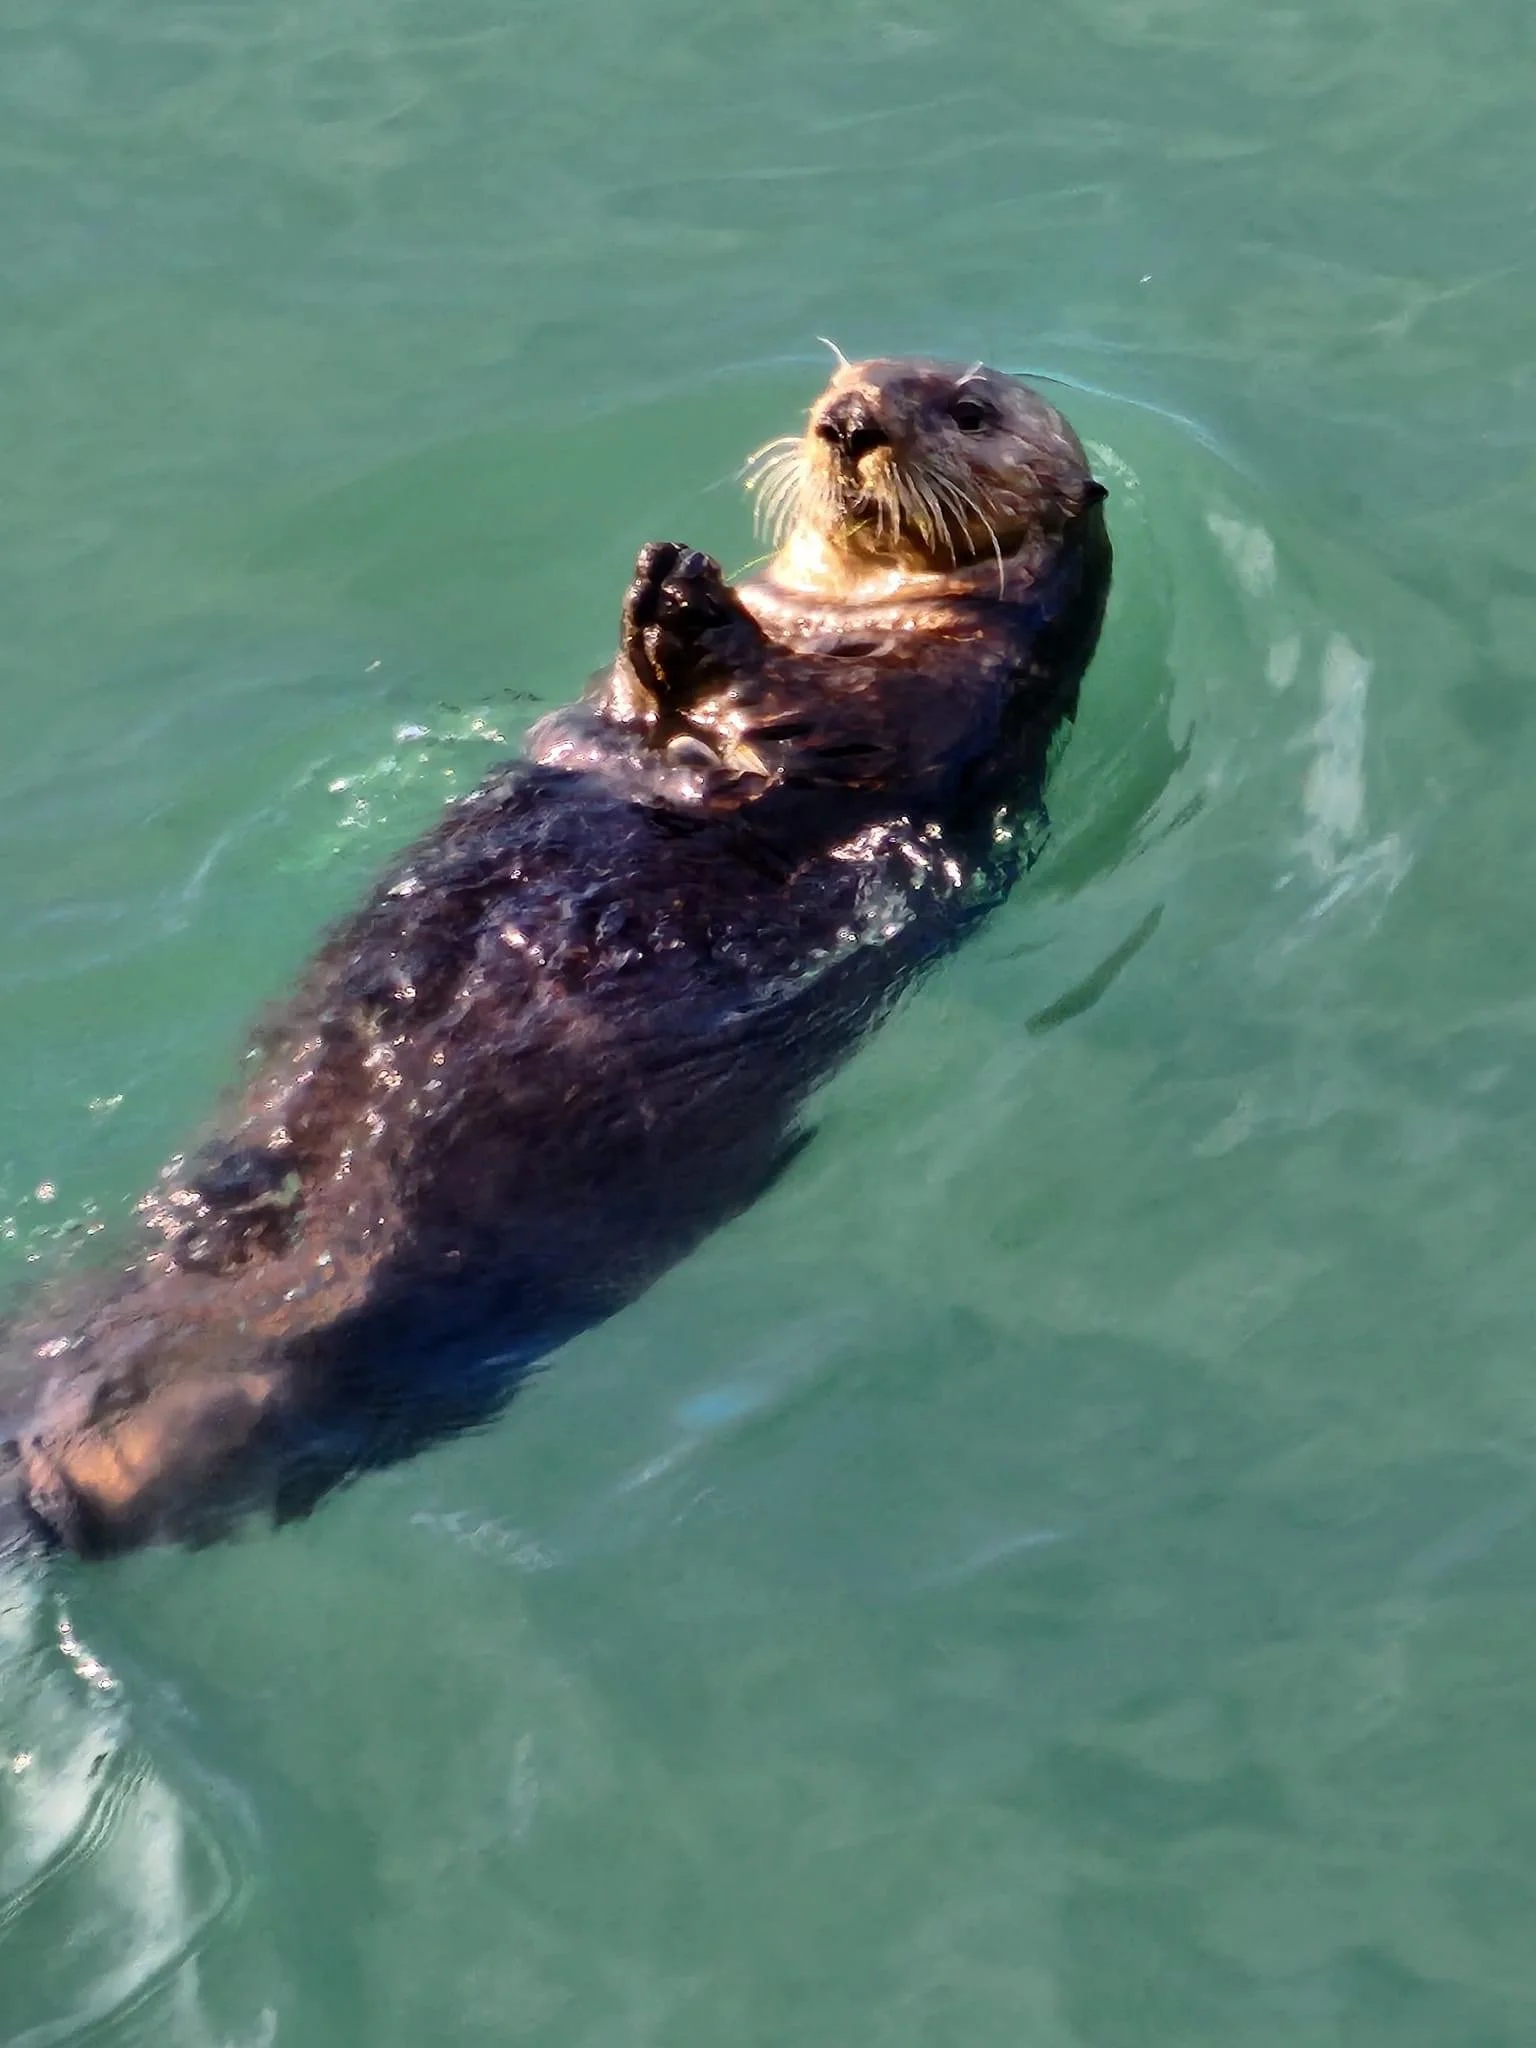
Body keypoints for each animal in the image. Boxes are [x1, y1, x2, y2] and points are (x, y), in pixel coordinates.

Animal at [0, 356, 1111, 1558]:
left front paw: (699, 614)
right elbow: (627, 701)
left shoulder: (942, 691)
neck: (843, 612)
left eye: (970, 410)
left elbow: (821, 719)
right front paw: (661, 586)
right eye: (844, 377)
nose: (849, 423)